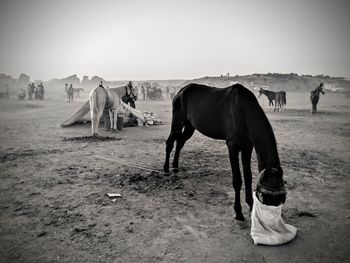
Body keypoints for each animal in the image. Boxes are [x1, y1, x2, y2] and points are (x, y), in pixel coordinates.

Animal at [163, 84, 284, 223]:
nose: (269, 220)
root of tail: (181, 90)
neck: (243, 110)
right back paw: (166, 169)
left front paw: (250, 203)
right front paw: (238, 212)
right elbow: (237, 180)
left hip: (190, 125)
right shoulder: (233, 146)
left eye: (280, 200)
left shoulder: (247, 146)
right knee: (170, 143)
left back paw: (175, 166)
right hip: (178, 121)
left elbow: (248, 176)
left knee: (180, 142)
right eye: (265, 197)